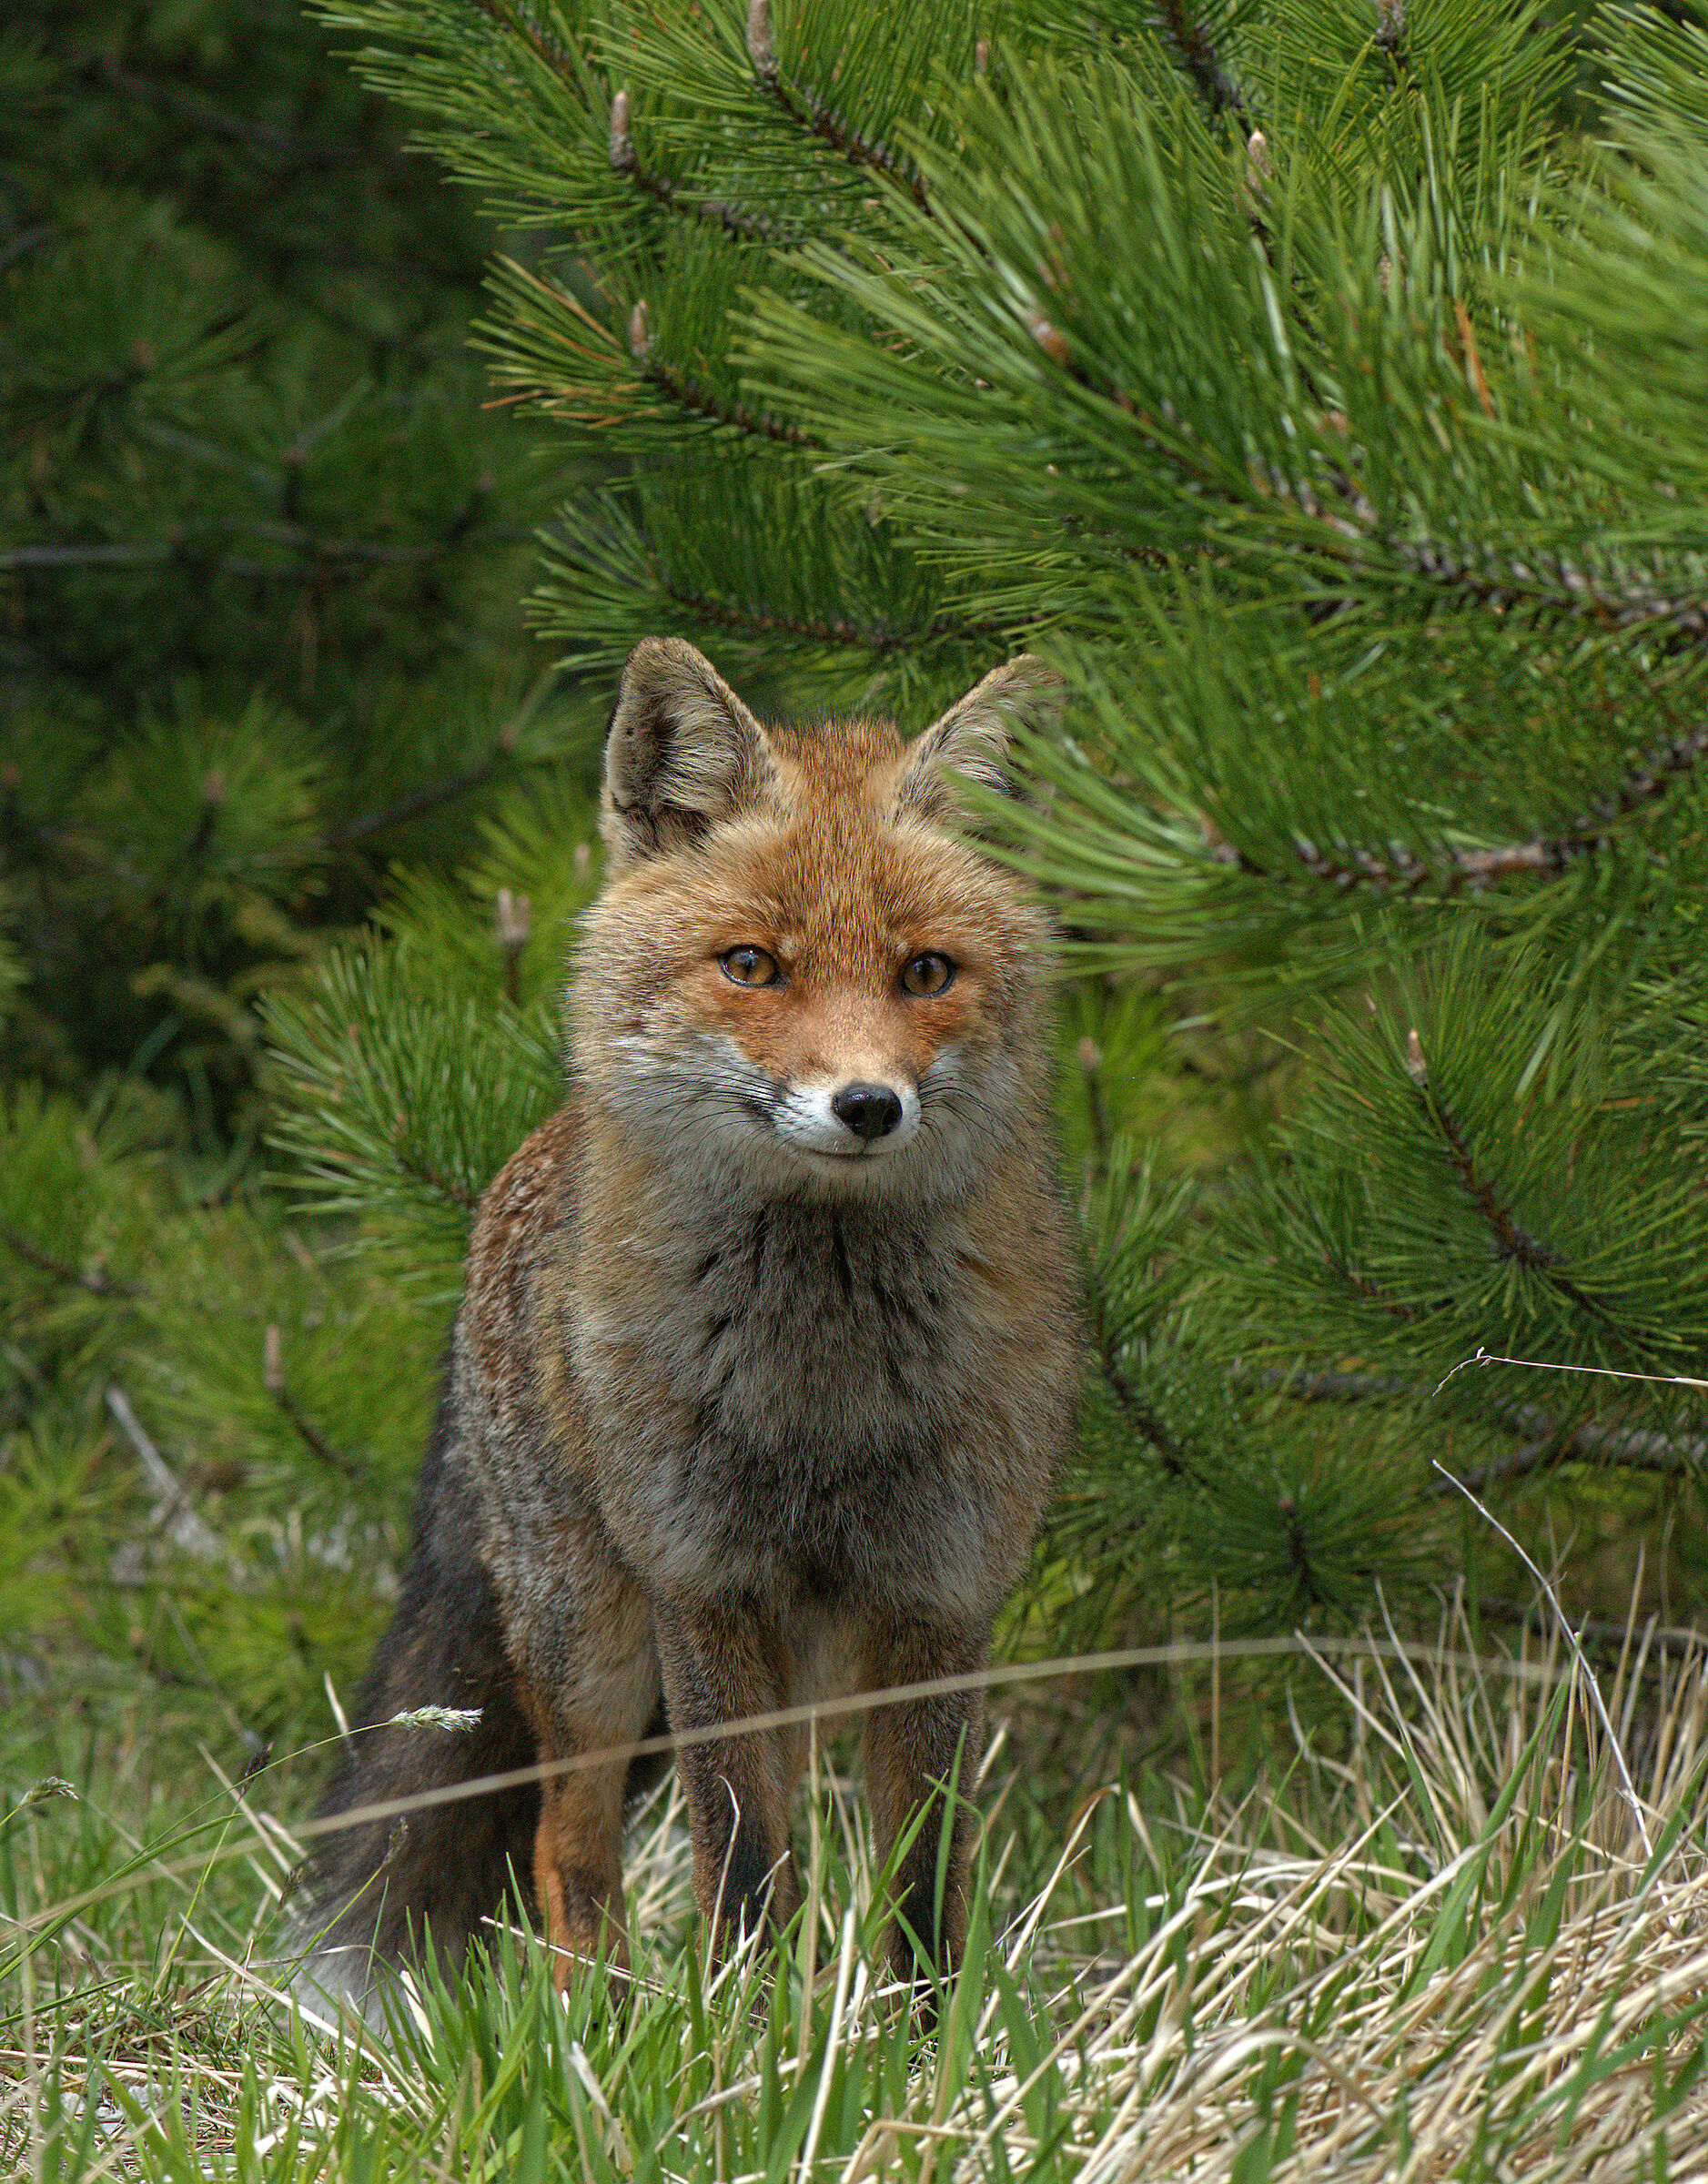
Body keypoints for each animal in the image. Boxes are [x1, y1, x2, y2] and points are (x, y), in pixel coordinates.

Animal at [291, 638, 1081, 2023]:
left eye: (925, 973)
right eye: (752, 966)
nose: (865, 1105)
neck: (822, 1389)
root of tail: (528, 1161)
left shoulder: (940, 1600)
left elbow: (919, 1883)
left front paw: (919, 2049)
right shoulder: (706, 1587)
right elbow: (744, 1869)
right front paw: (749, 2045)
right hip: (592, 1644)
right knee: (565, 1846)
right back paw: (597, 2027)